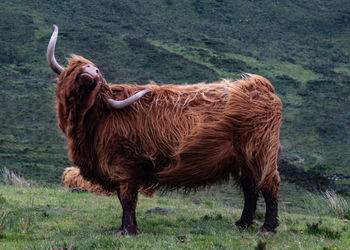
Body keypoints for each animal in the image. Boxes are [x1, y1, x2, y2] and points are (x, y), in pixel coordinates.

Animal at [47, 25, 282, 236]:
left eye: (97, 71)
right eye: (78, 67)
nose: (91, 71)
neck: (93, 121)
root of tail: (261, 86)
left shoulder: (127, 165)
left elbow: (127, 199)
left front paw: (128, 231)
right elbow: (122, 200)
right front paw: (123, 228)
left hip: (261, 152)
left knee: (269, 185)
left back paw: (267, 228)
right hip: (242, 159)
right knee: (250, 188)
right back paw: (242, 224)